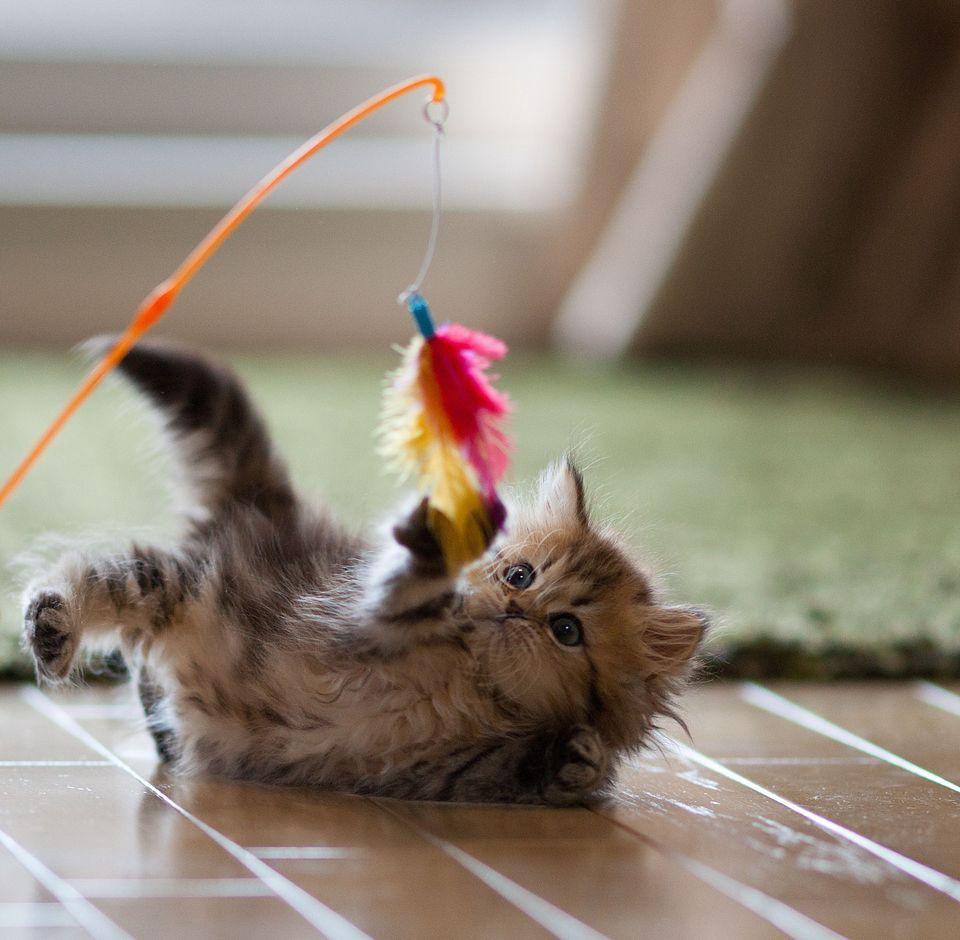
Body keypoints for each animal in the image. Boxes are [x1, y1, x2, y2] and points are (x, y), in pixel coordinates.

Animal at [20, 342, 704, 804]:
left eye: (566, 630)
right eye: (519, 576)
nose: (516, 611)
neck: (467, 678)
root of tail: (275, 509)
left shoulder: (447, 770)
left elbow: (528, 770)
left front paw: (577, 763)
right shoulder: (360, 616)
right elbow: (408, 586)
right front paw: (445, 531)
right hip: (182, 582)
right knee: (90, 572)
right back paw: (52, 626)